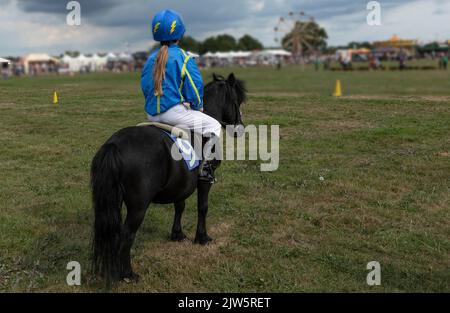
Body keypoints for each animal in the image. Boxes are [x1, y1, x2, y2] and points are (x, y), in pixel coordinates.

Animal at [91, 72, 246, 282]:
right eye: (237, 101)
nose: (240, 128)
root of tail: (114, 145)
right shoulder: (204, 182)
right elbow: (203, 207)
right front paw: (202, 237)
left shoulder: (181, 184)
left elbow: (180, 205)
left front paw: (177, 234)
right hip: (138, 207)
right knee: (127, 234)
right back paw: (127, 273)